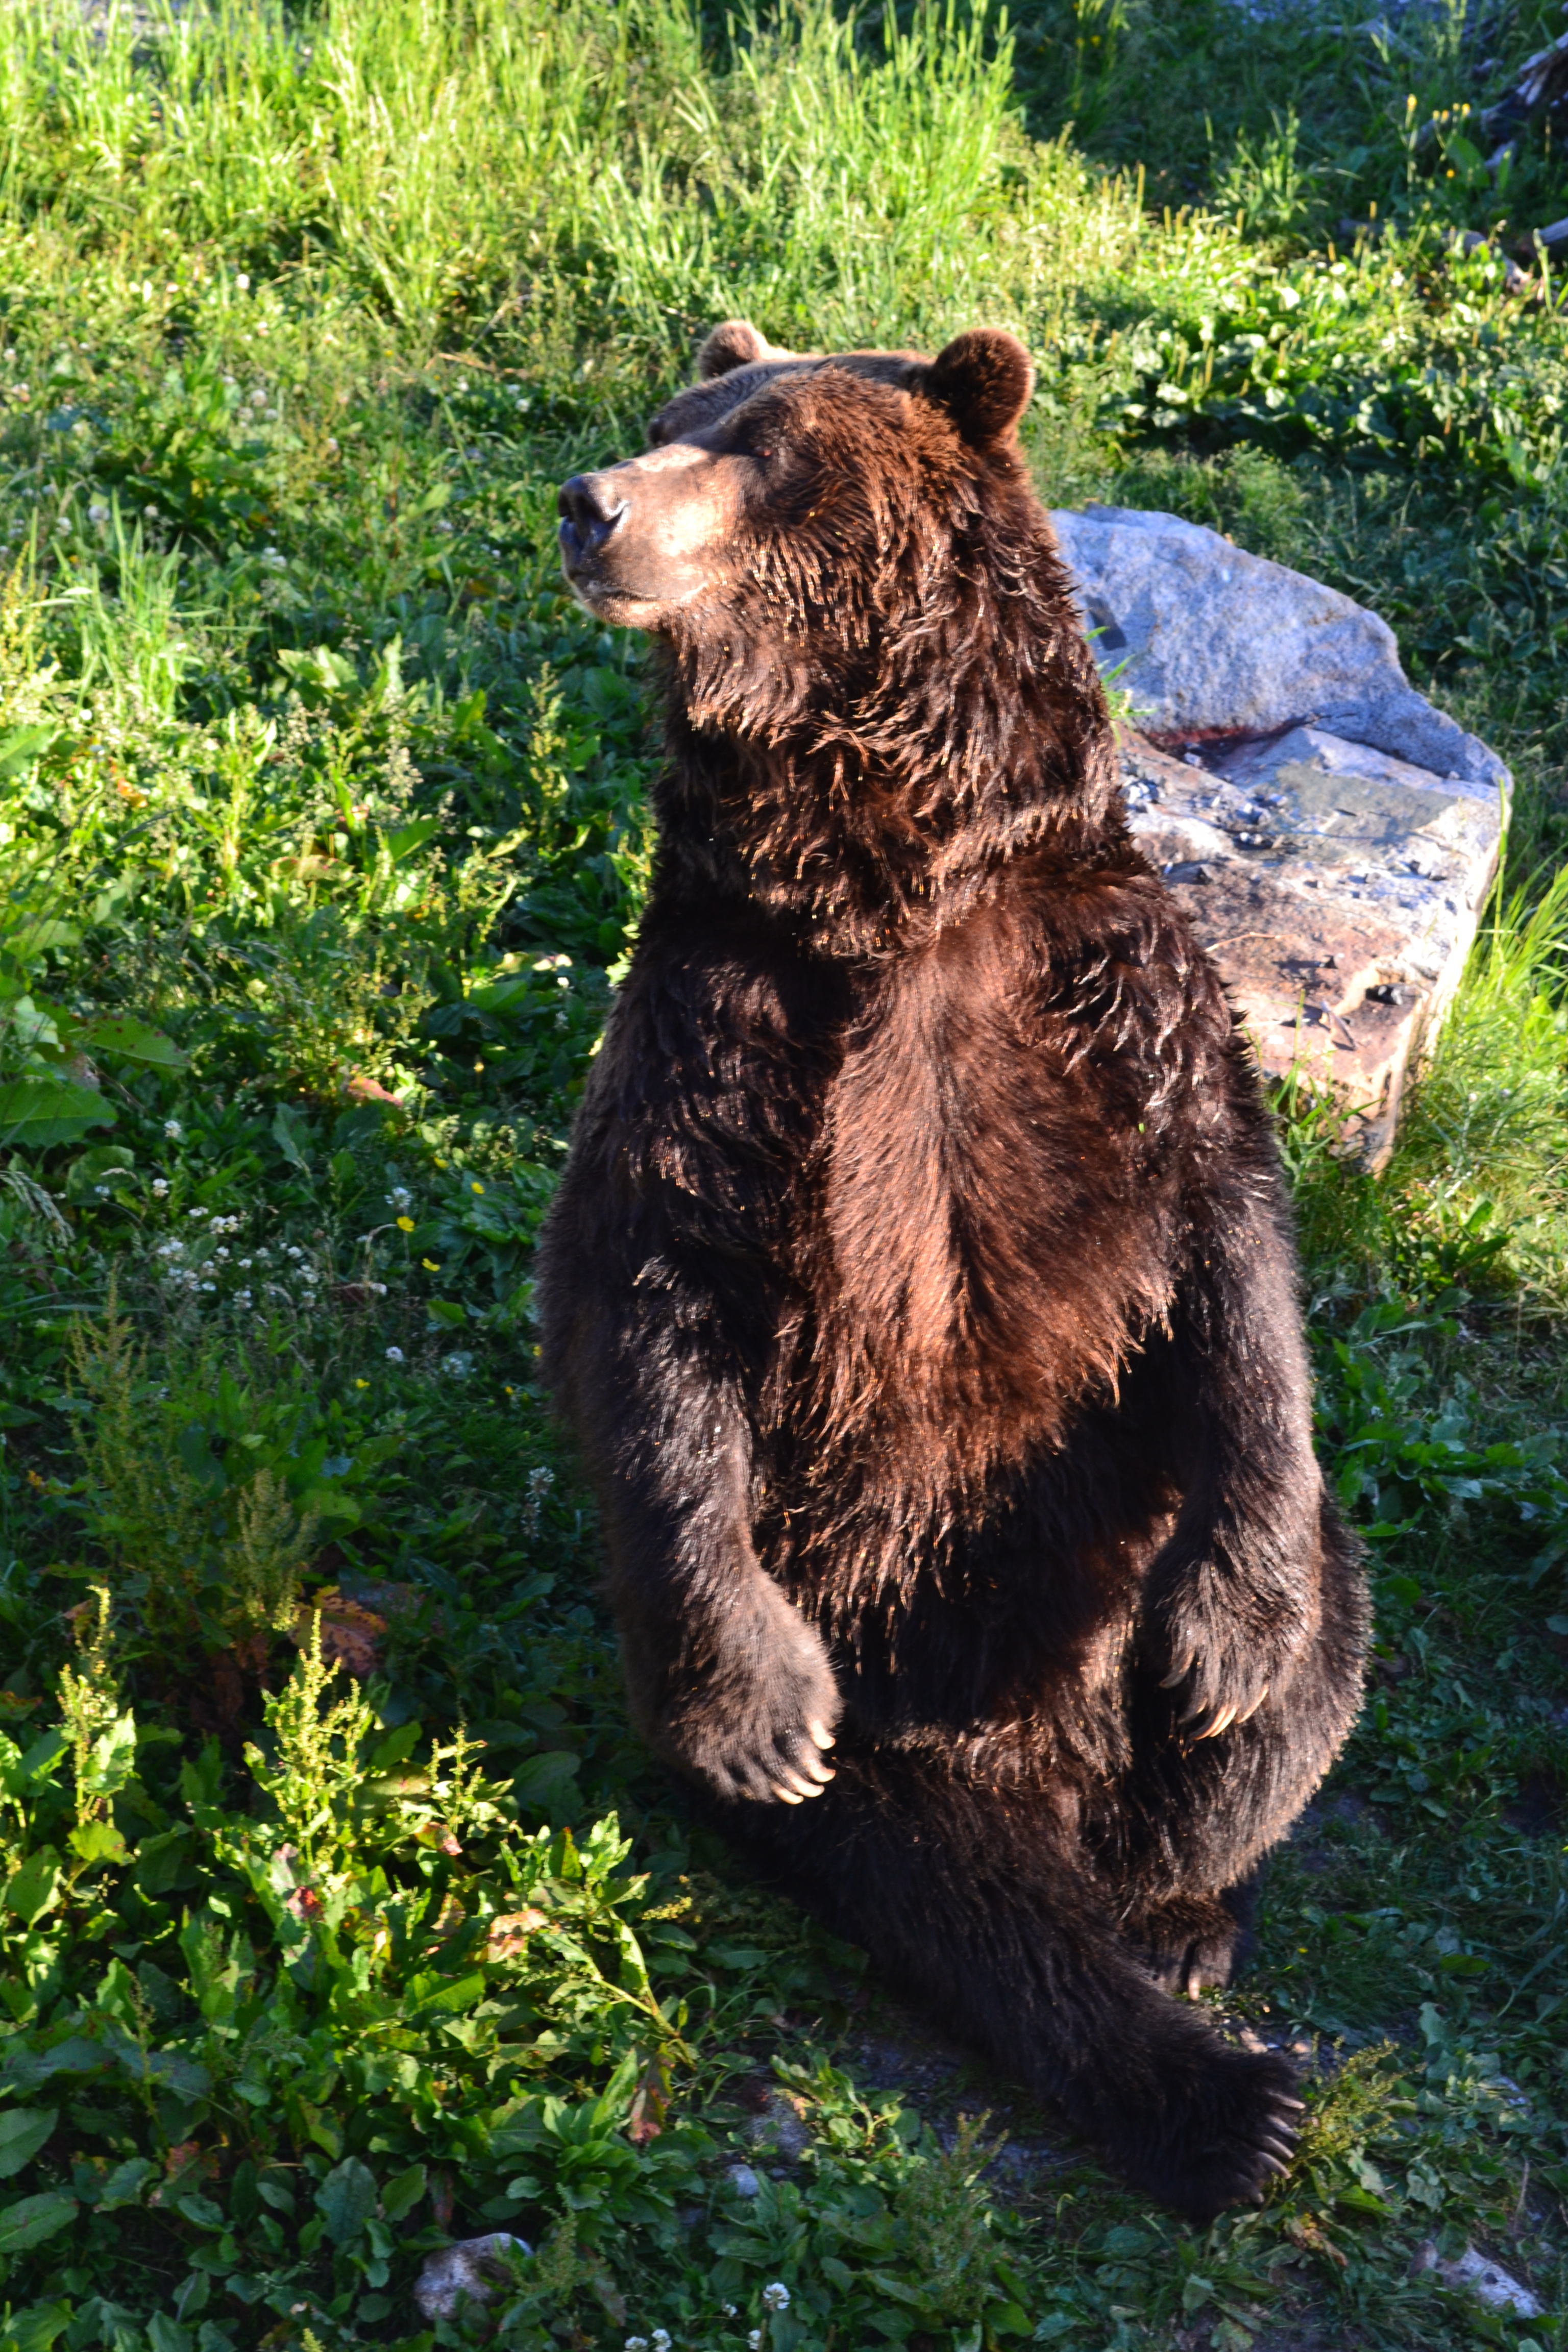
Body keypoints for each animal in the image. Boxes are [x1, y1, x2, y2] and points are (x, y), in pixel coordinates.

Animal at [538, 318, 1368, 2219]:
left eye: (755, 445)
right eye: (671, 418)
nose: (589, 500)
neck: (890, 882)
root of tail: (1036, 1758)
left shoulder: (1113, 992)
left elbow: (1233, 1260)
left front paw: (1227, 1647)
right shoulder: (726, 1025)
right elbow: (646, 1293)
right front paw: (753, 1709)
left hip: (1134, 1599)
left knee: (1296, 1682)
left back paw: (1189, 1904)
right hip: (889, 1702)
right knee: (967, 1901)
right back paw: (1220, 2097)